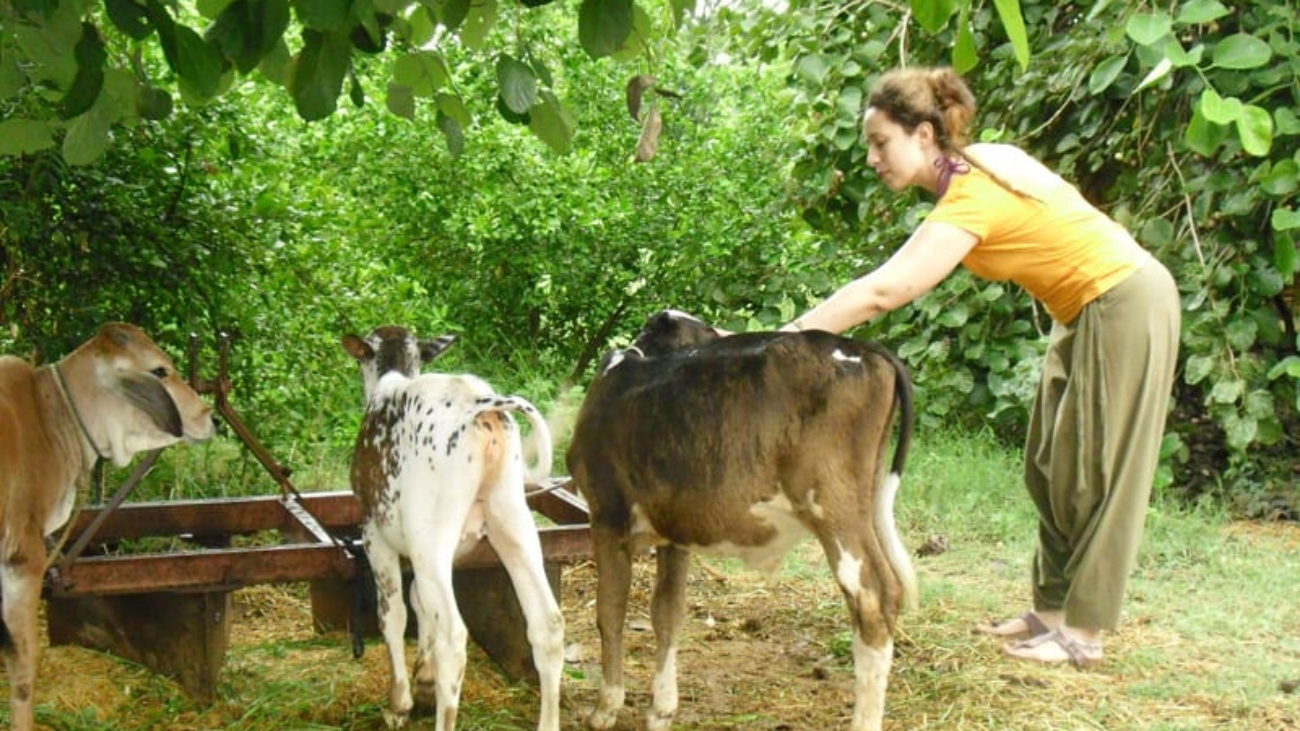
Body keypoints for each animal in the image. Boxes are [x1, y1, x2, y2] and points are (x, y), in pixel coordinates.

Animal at [566, 308, 915, 728]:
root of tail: (863, 348)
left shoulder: (606, 515)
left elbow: (610, 609)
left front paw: (605, 707)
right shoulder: (674, 530)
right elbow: (667, 611)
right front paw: (661, 708)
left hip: (832, 507)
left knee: (871, 598)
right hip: (866, 504)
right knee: (890, 593)